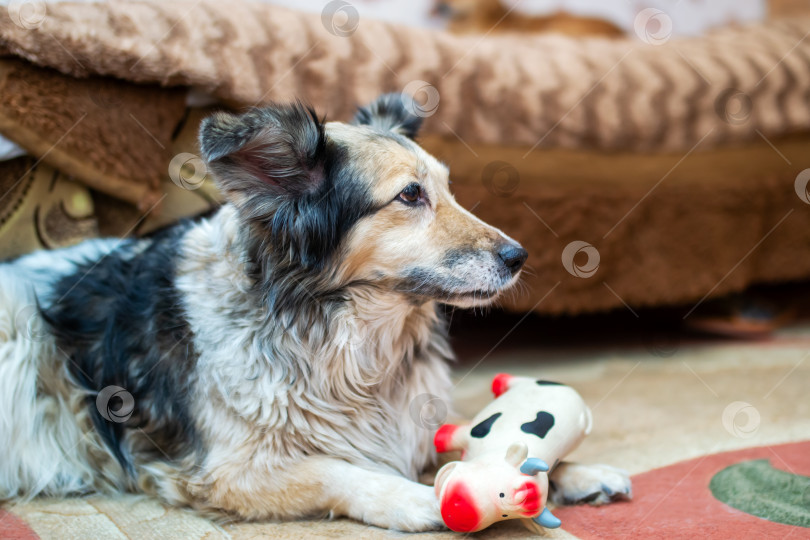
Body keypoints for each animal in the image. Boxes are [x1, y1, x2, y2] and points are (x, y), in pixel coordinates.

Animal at [0, 95, 628, 528]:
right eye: (410, 195)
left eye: (450, 189)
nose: (519, 257)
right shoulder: (224, 472)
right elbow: (333, 469)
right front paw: (415, 498)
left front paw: (572, 472)